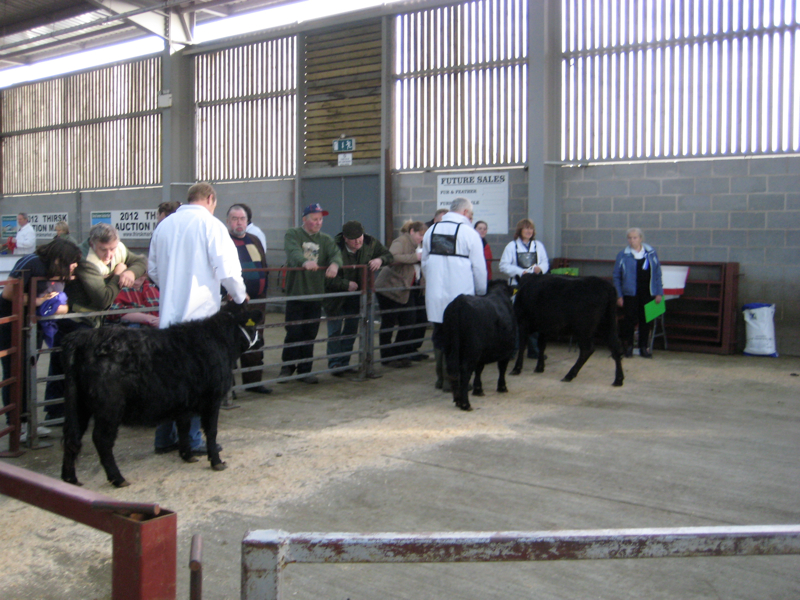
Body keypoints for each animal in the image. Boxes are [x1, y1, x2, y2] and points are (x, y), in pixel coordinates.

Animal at [63, 304, 262, 488]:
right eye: (254, 326)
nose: (260, 342)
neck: (220, 340)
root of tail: (83, 339)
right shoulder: (212, 399)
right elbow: (211, 432)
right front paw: (217, 461)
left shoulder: (185, 403)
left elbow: (183, 427)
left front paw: (187, 455)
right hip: (109, 407)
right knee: (101, 440)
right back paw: (118, 478)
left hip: (79, 404)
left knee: (72, 437)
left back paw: (70, 479)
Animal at [440, 278, 516, 410]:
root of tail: (459, 301)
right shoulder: (507, 350)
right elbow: (502, 367)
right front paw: (502, 387)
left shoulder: (482, 352)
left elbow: (479, 369)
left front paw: (478, 389)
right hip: (472, 349)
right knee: (465, 370)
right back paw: (465, 404)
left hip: (450, 346)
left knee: (452, 370)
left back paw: (457, 399)